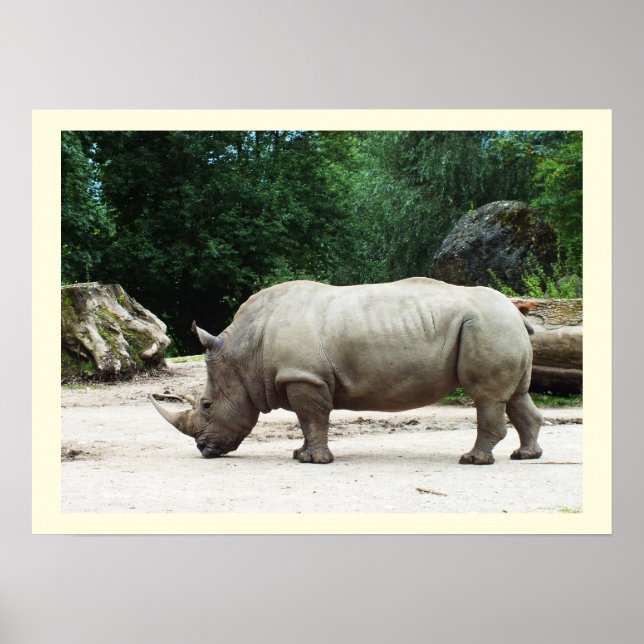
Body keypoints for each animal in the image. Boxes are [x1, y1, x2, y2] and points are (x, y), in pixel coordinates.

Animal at [150, 278, 543, 465]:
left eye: (206, 405)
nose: (203, 449)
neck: (244, 352)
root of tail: (516, 312)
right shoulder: (303, 375)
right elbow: (308, 422)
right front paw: (300, 455)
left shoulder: (303, 376)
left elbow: (312, 418)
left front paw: (313, 461)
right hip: (496, 326)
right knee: (517, 395)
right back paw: (526, 456)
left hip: (486, 325)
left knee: (487, 397)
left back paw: (472, 461)